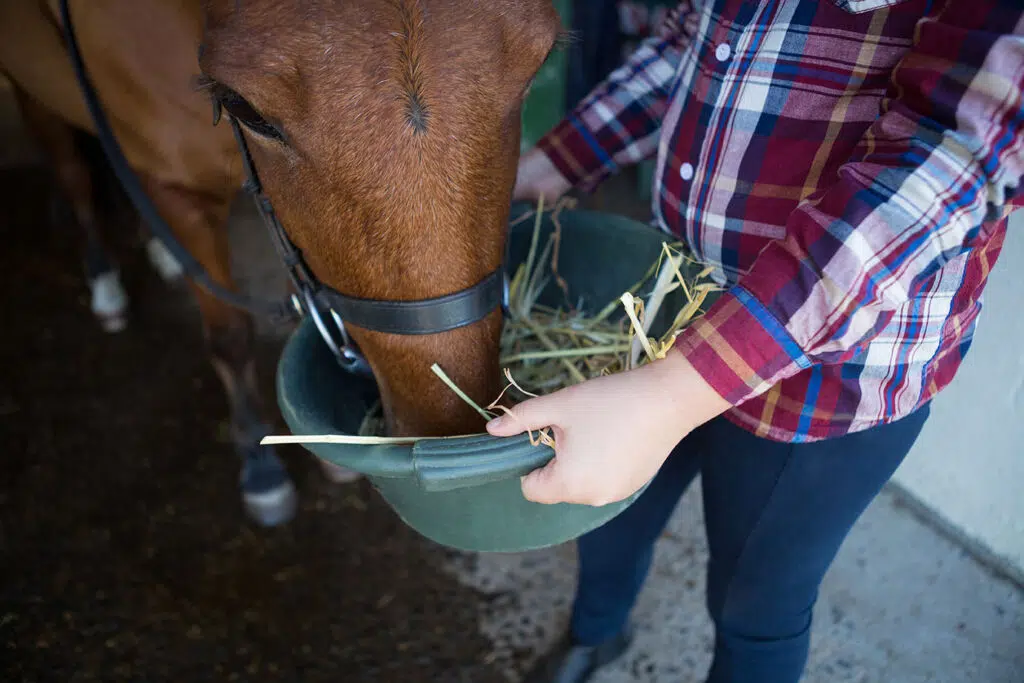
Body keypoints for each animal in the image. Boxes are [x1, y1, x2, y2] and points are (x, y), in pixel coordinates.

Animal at [2, 0, 561, 528]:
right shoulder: (177, 192)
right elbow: (229, 335)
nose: (445, 423)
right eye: (241, 107)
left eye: (541, 62)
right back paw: (105, 282)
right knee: (71, 173)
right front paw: (259, 464)